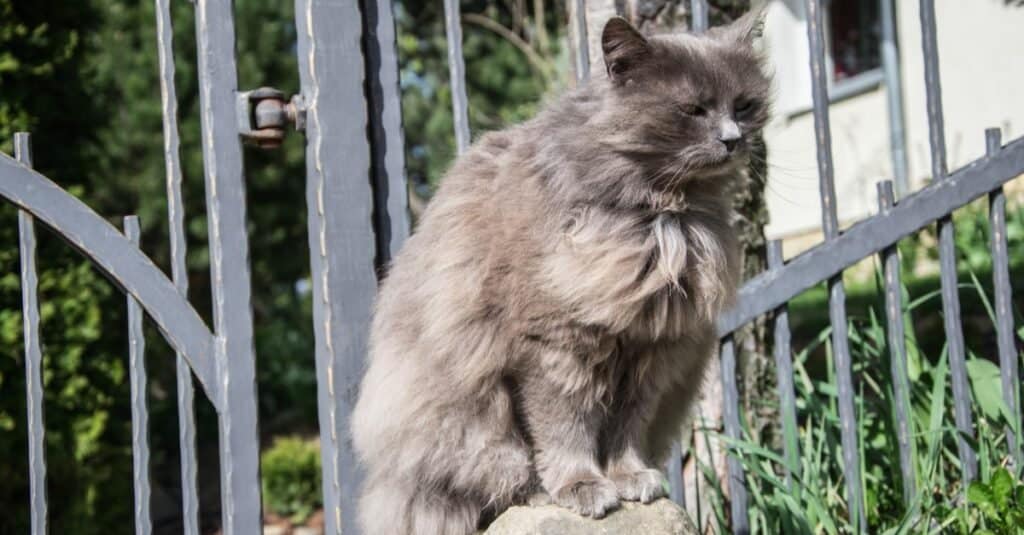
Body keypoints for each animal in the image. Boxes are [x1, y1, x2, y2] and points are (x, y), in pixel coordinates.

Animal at [352, 13, 770, 532]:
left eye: (745, 105)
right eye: (693, 109)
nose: (733, 139)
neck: (662, 219)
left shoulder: (651, 350)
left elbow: (627, 427)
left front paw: (631, 478)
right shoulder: (556, 347)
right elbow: (564, 427)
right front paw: (583, 486)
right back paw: (537, 495)